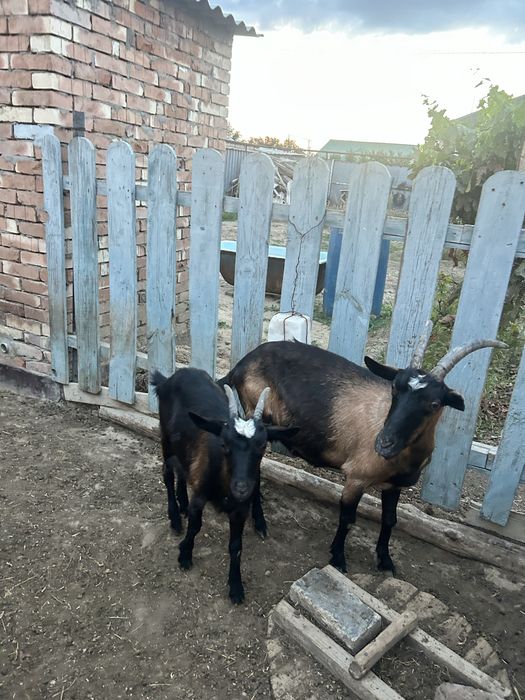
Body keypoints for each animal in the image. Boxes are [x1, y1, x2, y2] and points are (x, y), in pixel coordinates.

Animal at [151, 367, 297, 603]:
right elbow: (195, 527)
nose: (241, 488)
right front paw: (184, 554)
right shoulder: (200, 496)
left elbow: (236, 546)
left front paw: (236, 586)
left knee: (182, 469)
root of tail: (169, 378)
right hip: (165, 439)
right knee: (167, 473)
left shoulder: (240, 510)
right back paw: (174, 517)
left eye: (262, 446)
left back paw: (182, 503)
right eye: (224, 444)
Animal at [220, 326, 506, 574]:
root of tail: (241, 364)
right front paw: (338, 559)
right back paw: (260, 524)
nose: (383, 443)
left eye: (435, 403)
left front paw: (386, 561)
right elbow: (348, 518)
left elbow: (390, 520)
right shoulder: (356, 476)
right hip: (255, 413)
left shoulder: (394, 485)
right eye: (395, 389)